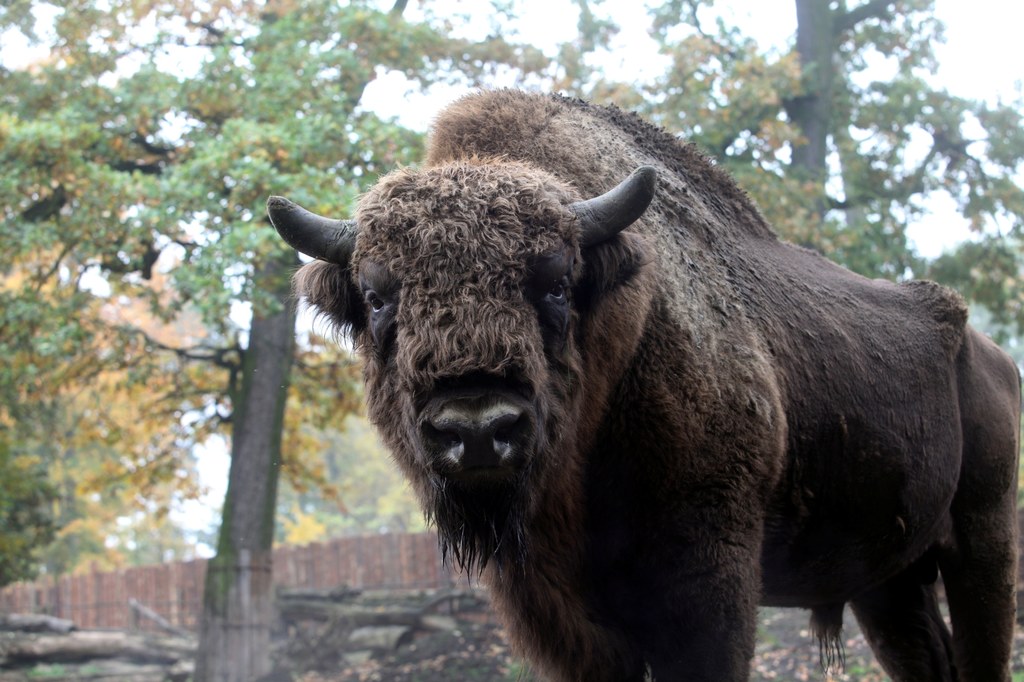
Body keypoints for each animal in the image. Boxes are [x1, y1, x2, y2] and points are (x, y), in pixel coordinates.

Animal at [268, 91, 1019, 679]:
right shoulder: (565, 618)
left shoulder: (707, 589)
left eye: (557, 283)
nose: (477, 430)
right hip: (889, 582)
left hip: (983, 544)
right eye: (376, 296)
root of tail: (988, 354)